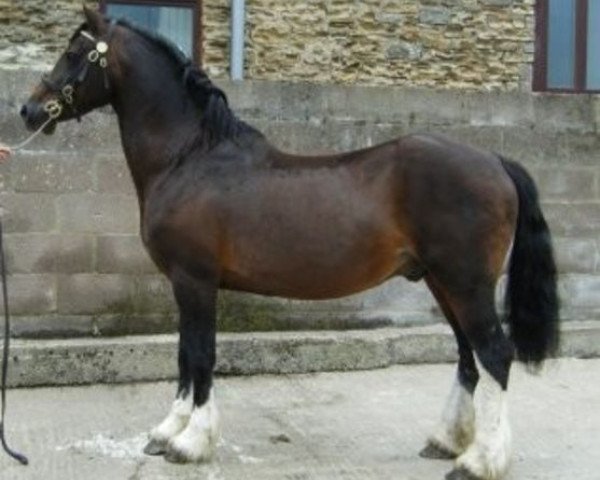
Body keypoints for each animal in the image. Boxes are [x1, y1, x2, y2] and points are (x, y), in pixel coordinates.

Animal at [21, 8, 560, 480]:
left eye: (73, 52)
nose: (28, 110)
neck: (190, 157)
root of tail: (494, 160)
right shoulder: (183, 285)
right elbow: (183, 355)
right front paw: (167, 431)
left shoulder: (195, 282)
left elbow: (200, 355)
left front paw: (190, 442)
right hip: (441, 283)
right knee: (469, 357)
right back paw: (447, 442)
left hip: (465, 283)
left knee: (494, 354)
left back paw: (479, 461)